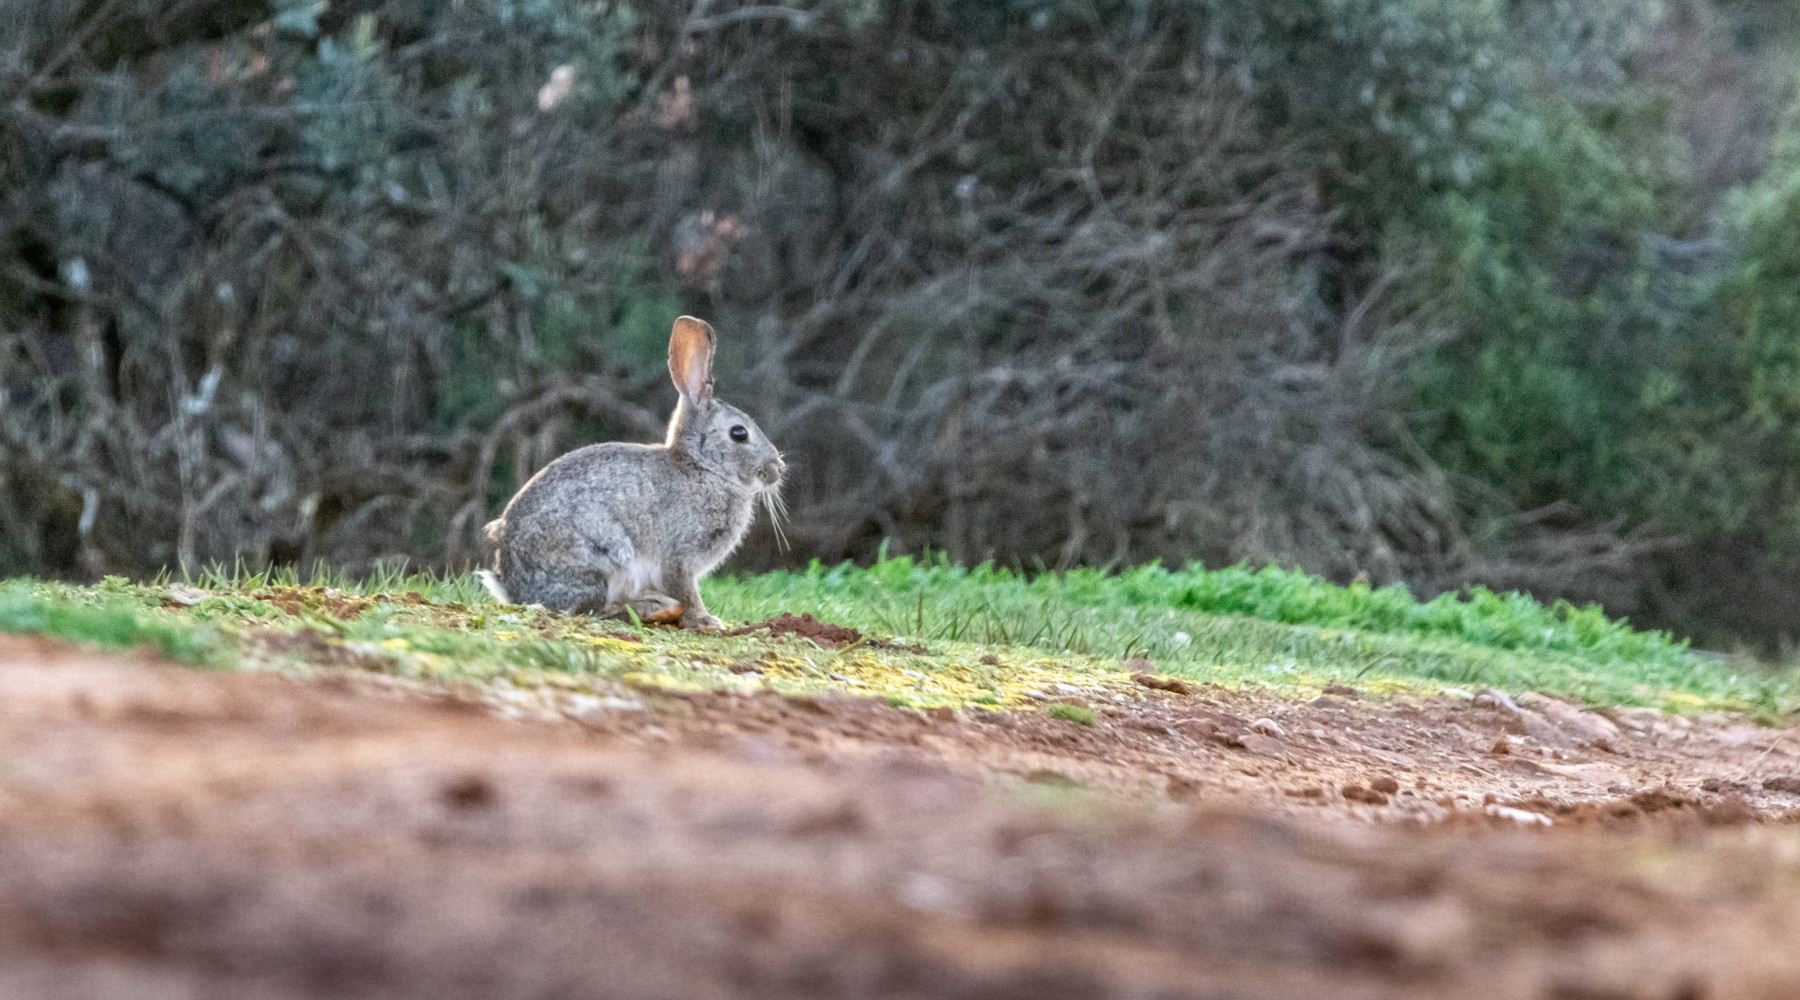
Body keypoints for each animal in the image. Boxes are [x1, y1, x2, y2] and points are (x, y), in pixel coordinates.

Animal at [477, 315, 785, 630]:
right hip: (609, 554)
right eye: (739, 433)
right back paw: (656, 608)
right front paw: (707, 621)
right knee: (595, 608)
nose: (777, 469)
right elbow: (686, 591)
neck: (703, 466)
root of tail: (513, 586)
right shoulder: (678, 559)